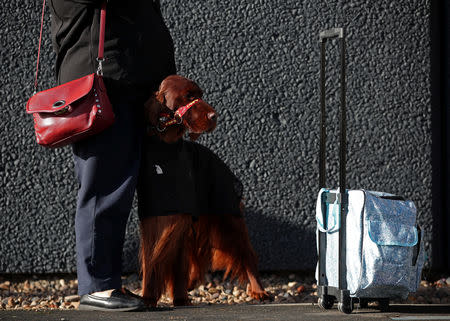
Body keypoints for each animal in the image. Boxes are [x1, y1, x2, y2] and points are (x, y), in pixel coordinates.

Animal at [137, 74, 268, 304]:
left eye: (200, 95)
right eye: (188, 96)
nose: (214, 116)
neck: (166, 148)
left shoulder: (181, 216)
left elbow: (178, 263)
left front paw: (180, 298)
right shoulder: (153, 218)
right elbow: (151, 261)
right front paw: (149, 298)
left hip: (227, 214)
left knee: (246, 253)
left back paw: (258, 290)